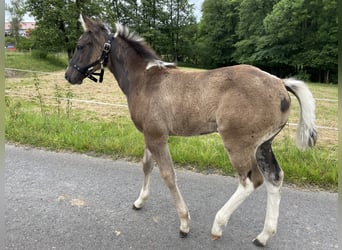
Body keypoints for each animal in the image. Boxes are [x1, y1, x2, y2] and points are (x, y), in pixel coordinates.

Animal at [65, 15, 316, 246]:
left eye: (80, 45)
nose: (69, 75)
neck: (144, 79)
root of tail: (280, 83)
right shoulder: (149, 134)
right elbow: (146, 165)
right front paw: (140, 201)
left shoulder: (157, 136)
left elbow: (168, 175)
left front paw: (184, 223)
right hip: (263, 144)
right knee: (275, 178)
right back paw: (263, 236)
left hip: (238, 144)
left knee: (251, 181)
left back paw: (218, 225)